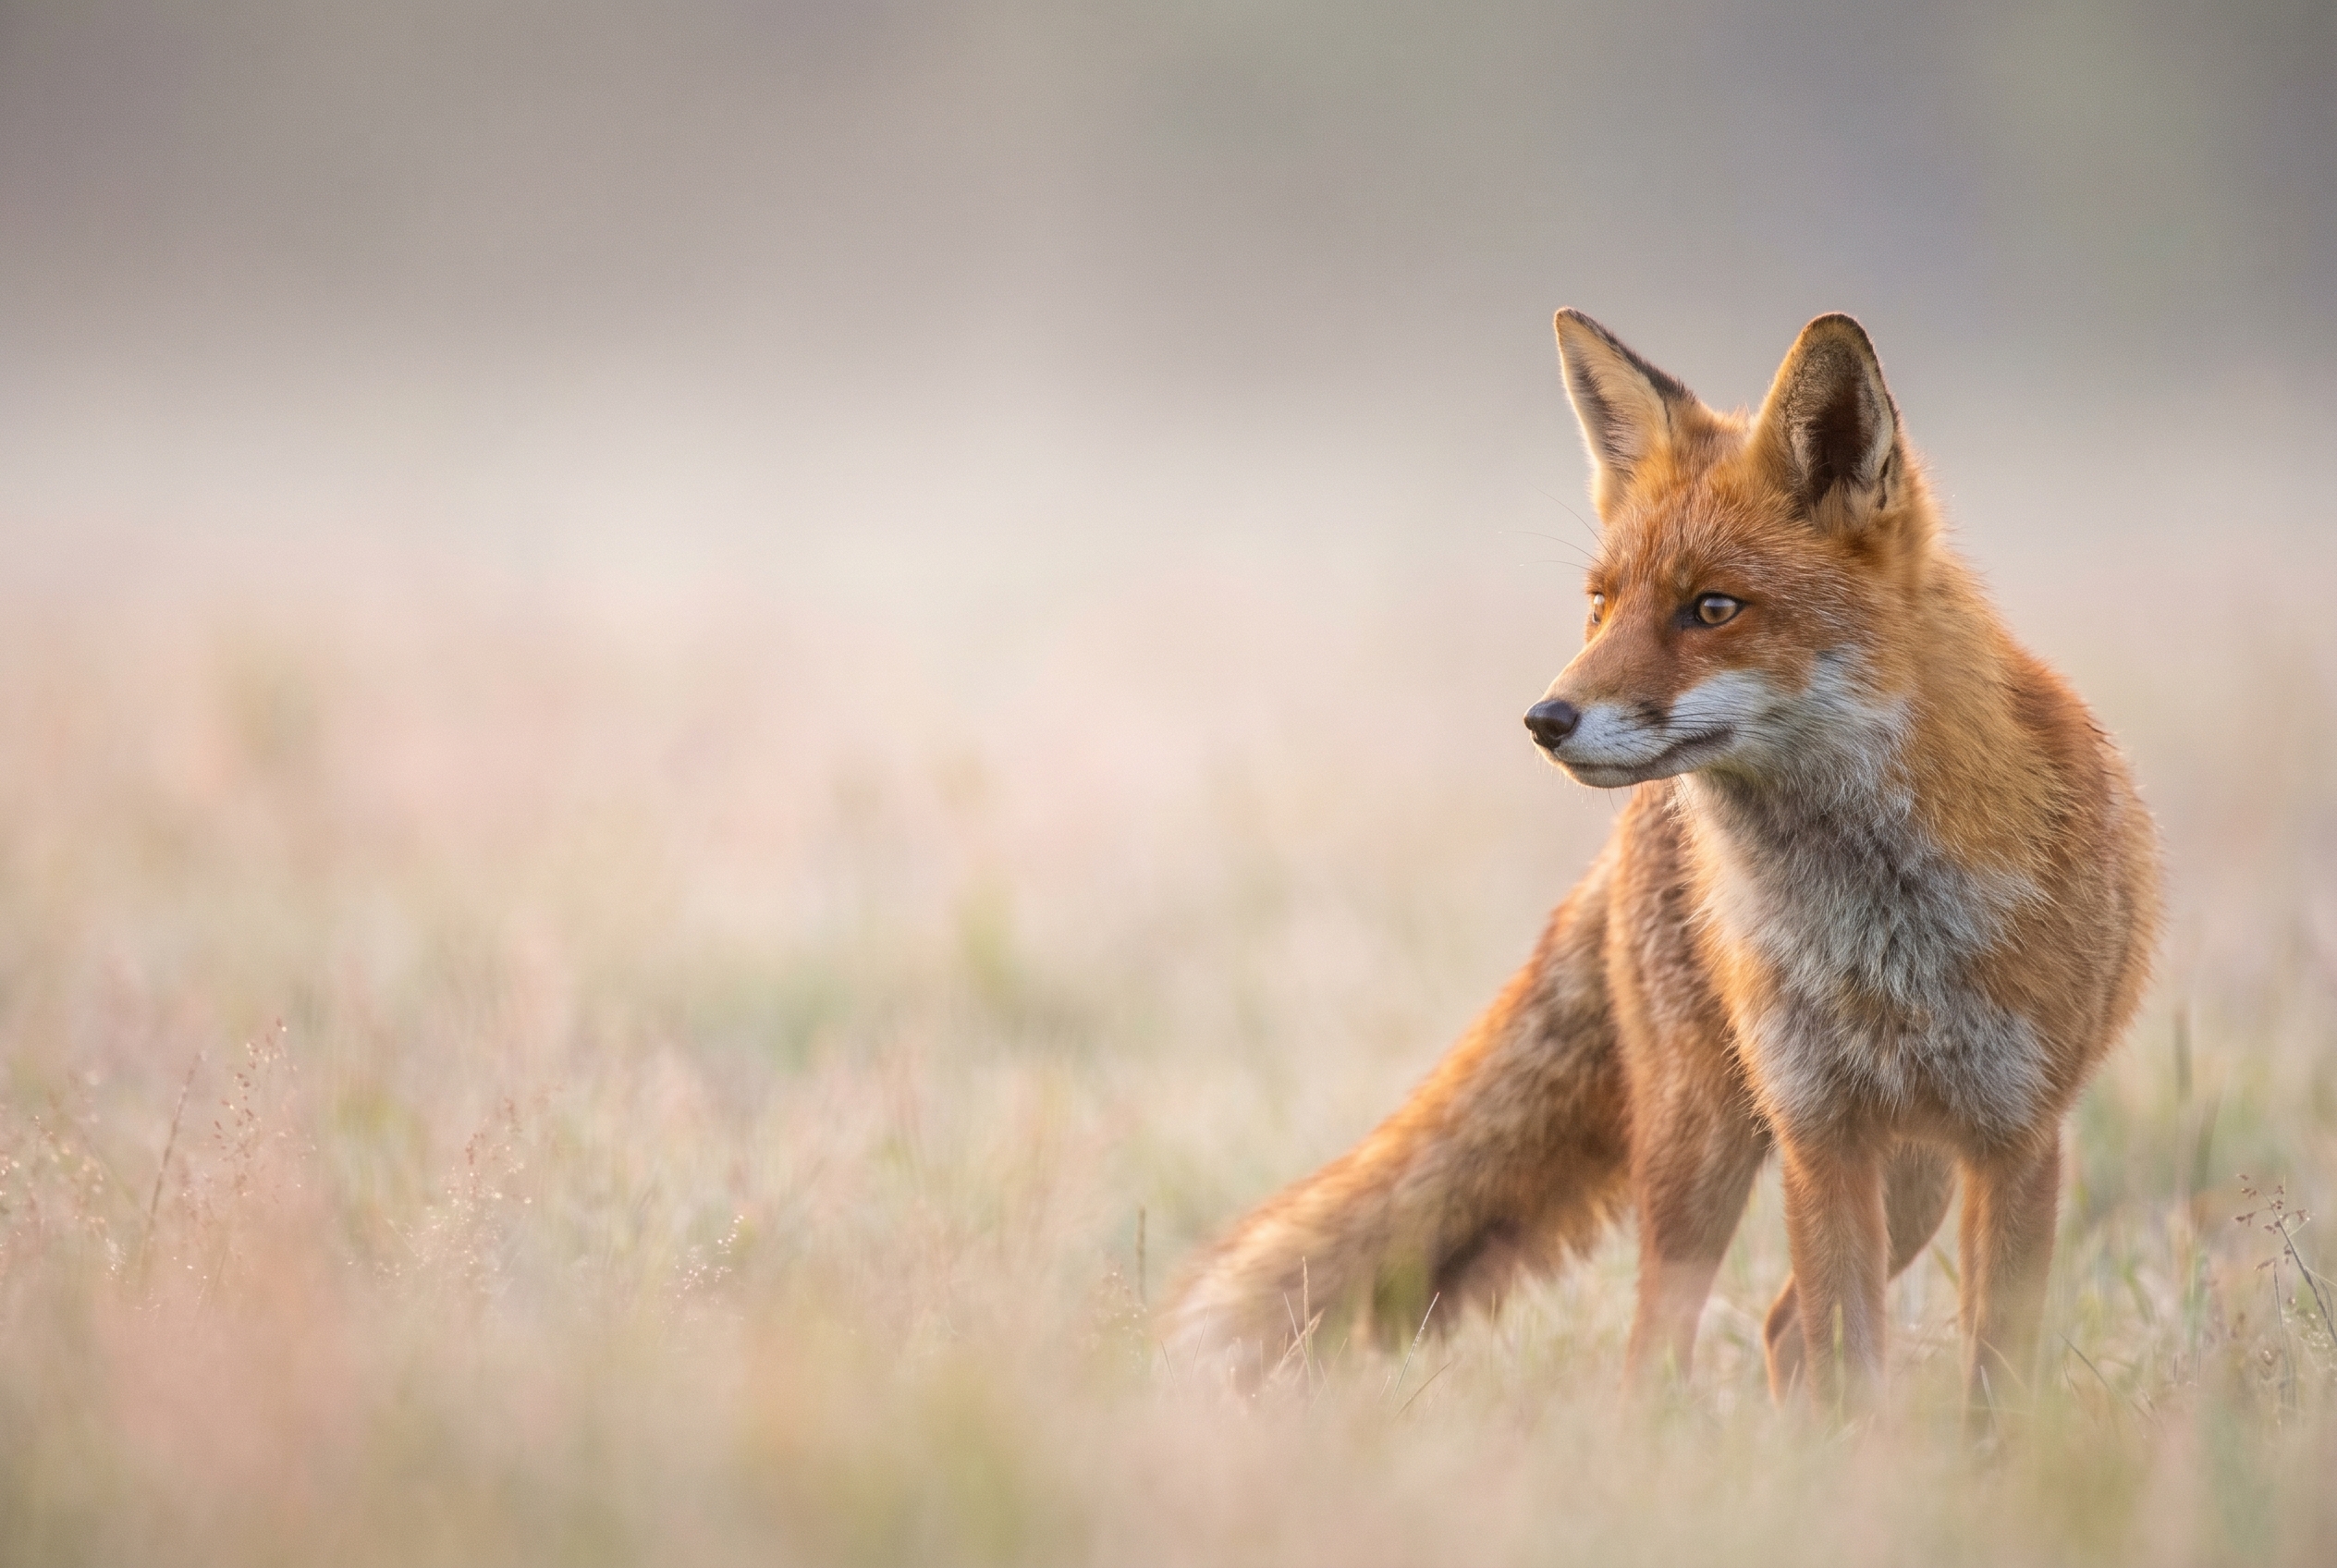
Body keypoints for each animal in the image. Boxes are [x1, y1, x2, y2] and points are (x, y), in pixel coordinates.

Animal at [1162, 311, 2161, 1421]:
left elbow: (1993, 1376)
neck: (1883, 936)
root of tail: (1634, 832)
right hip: (1706, 1143)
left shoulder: (2015, 1138)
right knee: (1670, 1343)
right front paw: (1859, 1463)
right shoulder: (1819, 1132)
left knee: (1777, 1328)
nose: (1544, 719)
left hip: (1914, 1181)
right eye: (1600, 603)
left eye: (1713, 608)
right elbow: (1849, 1360)